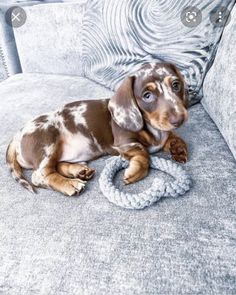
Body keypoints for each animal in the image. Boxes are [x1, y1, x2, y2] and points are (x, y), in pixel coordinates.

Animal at [6, 62, 189, 197]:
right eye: (147, 96)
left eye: (176, 85)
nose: (179, 119)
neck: (153, 127)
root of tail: (17, 134)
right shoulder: (124, 142)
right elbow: (143, 153)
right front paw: (136, 170)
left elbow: (173, 137)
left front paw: (178, 147)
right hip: (48, 142)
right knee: (40, 175)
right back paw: (69, 183)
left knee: (56, 166)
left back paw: (79, 171)